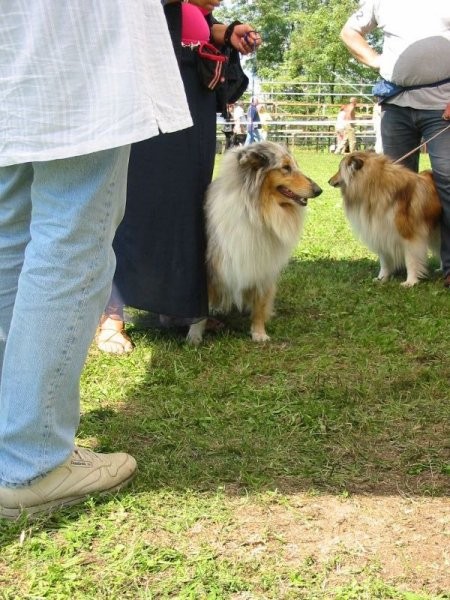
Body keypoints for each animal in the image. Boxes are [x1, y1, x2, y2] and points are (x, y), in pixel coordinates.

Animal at [188, 141, 322, 344]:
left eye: (295, 165)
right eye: (285, 168)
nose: (319, 190)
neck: (257, 211)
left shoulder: (263, 266)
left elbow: (260, 305)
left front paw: (259, 334)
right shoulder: (212, 266)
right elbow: (200, 309)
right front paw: (194, 336)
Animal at [328, 154, 442, 288]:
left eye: (339, 169)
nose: (328, 181)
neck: (374, 184)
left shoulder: (410, 236)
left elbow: (411, 260)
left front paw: (410, 282)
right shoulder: (381, 232)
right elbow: (385, 261)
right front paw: (381, 278)